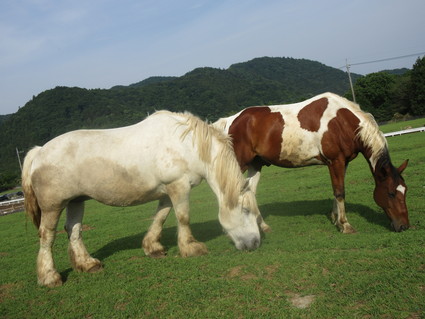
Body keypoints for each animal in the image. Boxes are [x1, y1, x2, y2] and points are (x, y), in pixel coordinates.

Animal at [23, 110, 262, 288]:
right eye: (246, 211)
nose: (256, 243)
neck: (186, 144)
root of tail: (39, 152)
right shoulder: (179, 186)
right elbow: (183, 217)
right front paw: (191, 248)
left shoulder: (167, 191)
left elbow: (161, 217)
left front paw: (153, 247)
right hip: (53, 206)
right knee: (47, 236)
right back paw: (49, 276)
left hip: (76, 201)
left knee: (74, 230)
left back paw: (87, 264)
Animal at [214, 92, 410, 232]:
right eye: (391, 193)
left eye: (405, 191)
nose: (404, 226)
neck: (343, 121)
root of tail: (230, 121)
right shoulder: (335, 161)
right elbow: (340, 192)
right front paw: (345, 225)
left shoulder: (342, 162)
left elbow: (337, 190)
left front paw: (335, 219)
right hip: (239, 164)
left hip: (256, 164)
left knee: (249, 192)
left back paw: (262, 226)